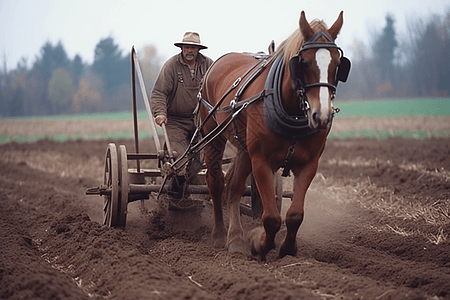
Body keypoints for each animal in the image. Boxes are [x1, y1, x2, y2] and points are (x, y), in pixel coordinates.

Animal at [200, 11, 352, 260]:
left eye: (339, 65)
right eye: (304, 62)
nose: (322, 116)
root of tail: (220, 60)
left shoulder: (309, 164)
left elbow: (295, 215)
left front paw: (288, 249)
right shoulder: (262, 161)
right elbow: (271, 217)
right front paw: (259, 244)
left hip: (243, 148)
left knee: (233, 187)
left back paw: (235, 239)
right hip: (212, 137)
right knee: (216, 184)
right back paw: (219, 235)